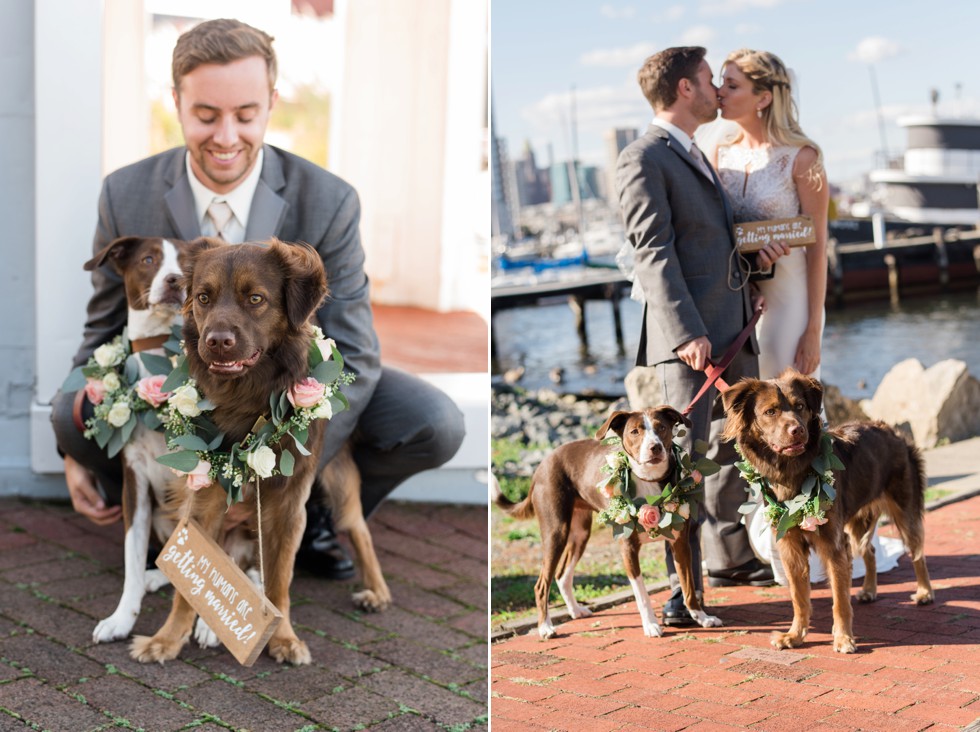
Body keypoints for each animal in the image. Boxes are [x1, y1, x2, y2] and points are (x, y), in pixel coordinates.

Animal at [86, 237, 195, 644]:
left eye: (189, 264)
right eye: (149, 259)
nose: (175, 279)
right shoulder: (134, 484)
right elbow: (132, 559)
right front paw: (122, 619)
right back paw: (155, 577)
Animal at [131, 237, 390, 668]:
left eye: (255, 298)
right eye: (203, 298)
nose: (217, 341)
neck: (246, 397)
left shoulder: (289, 506)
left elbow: (280, 581)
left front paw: (283, 638)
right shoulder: (203, 500)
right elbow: (189, 581)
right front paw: (167, 638)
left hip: (337, 478)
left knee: (357, 526)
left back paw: (377, 590)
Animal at [494, 406, 724, 640]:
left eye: (661, 428)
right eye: (634, 432)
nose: (655, 447)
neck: (649, 480)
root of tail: (542, 464)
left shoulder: (680, 544)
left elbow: (688, 586)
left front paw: (701, 617)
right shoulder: (628, 548)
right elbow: (642, 594)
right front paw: (650, 625)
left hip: (580, 534)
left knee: (561, 575)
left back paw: (575, 610)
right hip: (555, 532)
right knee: (542, 584)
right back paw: (545, 627)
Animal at [720, 368, 936, 656]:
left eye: (800, 406)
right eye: (770, 411)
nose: (797, 430)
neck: (791, 471)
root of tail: (892, 431)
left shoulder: (833, 545)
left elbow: (840, 599)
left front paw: (843, 638)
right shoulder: (790, 547)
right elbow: (799, 598)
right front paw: (795, 636)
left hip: (905, 510)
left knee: (917, 552)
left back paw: (924, 592)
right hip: (857, 521)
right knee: (870, 550)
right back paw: (869, 590)